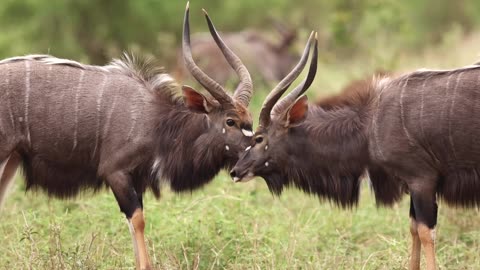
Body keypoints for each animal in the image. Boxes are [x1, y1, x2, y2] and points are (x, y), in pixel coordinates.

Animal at [0, 4, 258, 270]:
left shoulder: (138, 178)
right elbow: (137, 220)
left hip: (11, 160)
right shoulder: (116, 172)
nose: (254, 152)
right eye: (230, 121)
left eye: (250, 119)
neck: (155, 120)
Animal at [230, 36, 480, 270]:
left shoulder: (422, 180)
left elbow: (426, 232)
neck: (369, 126)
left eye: (259, 138)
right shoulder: (413, 185)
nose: (235, 171)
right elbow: (413, 229)